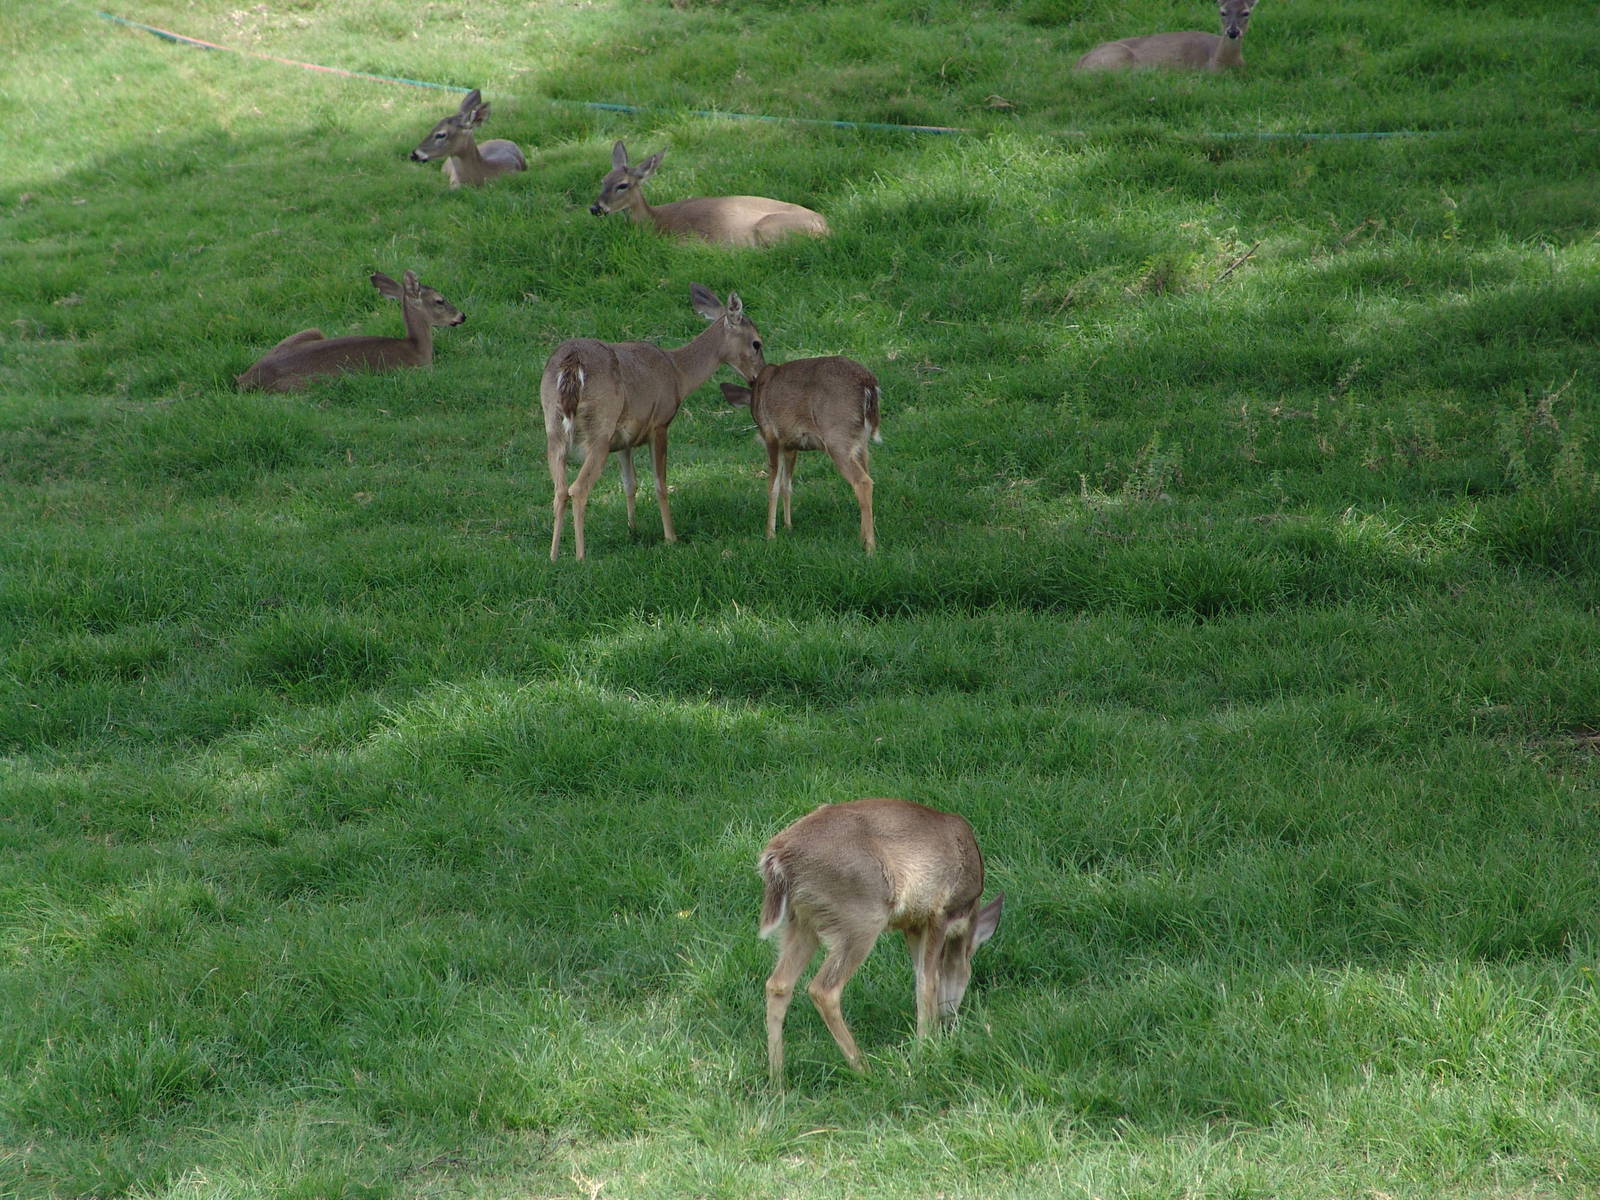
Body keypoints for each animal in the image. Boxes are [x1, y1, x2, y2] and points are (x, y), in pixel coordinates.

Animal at [540, 284, 765, 561]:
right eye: (756, 343)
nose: (759, 377)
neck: (678, 373)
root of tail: (572, 364)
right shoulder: (659, 424)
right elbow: (660, 483)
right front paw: (671, 538)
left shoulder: (622, 439)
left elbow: (630, 483)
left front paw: (632, 530)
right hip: (599, 431)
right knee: (578, 489)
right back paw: (580, 557)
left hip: (554, 428)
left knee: (560, 490)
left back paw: (553, 556)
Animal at [588, 141, 830, 248]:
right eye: (602, 180)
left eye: (623, 185)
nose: (595, 208)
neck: (655, 221)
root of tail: (826, 227)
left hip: (768, 226)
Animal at [719, 356, 881, 553]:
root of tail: (868, 385)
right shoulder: (790, 446)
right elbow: (786, 485)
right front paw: (788, 527)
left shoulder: (772, 435)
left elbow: (772, 486)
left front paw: (770, 534)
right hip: (860, 443)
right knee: (867, 476)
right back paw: (862, 538)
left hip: (837, 439)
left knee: (863, 481)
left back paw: (870, 548)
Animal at [759, 797, 1004, 1087]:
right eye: (968, 973)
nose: (951, 1020)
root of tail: (778, 857)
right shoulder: (938, 911)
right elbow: (929, 980)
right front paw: (924, 1052)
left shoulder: (912, 924)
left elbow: (920, 975)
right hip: (861, 916)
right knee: (823, 989)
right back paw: (865, 1069)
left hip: (802, 922)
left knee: (778, 984)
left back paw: (777, 1081)